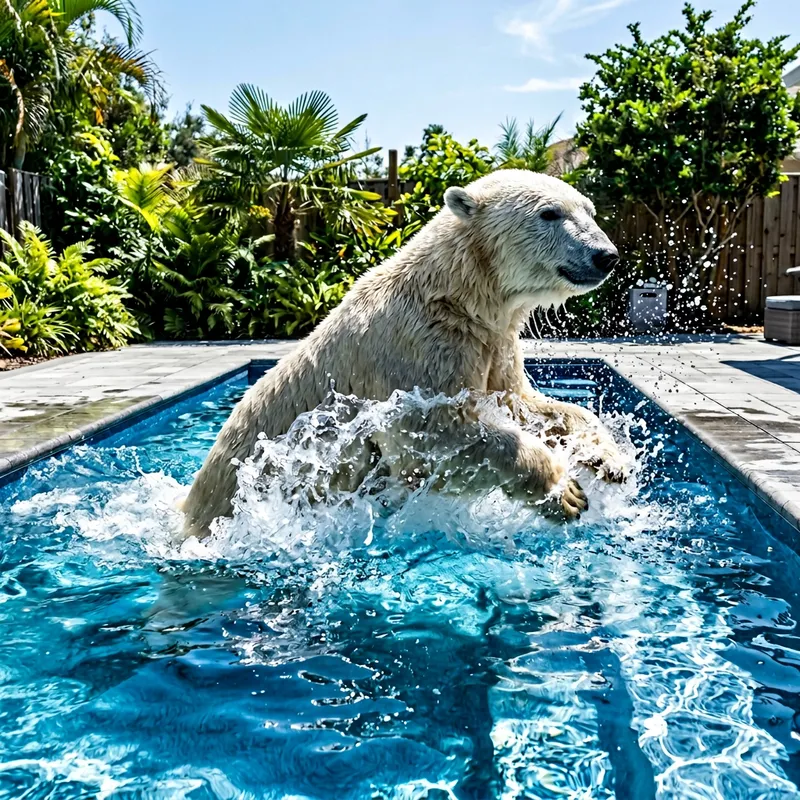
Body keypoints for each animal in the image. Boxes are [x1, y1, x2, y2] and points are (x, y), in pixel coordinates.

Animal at [181, 169, 627, 540]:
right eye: (549, 213)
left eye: (588, 210)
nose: (605, 255)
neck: (456, 296)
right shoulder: (417, 347)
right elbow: (436, 435)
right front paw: (564, 490)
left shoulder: (494, 343)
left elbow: (525, 403)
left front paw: (609, 457)